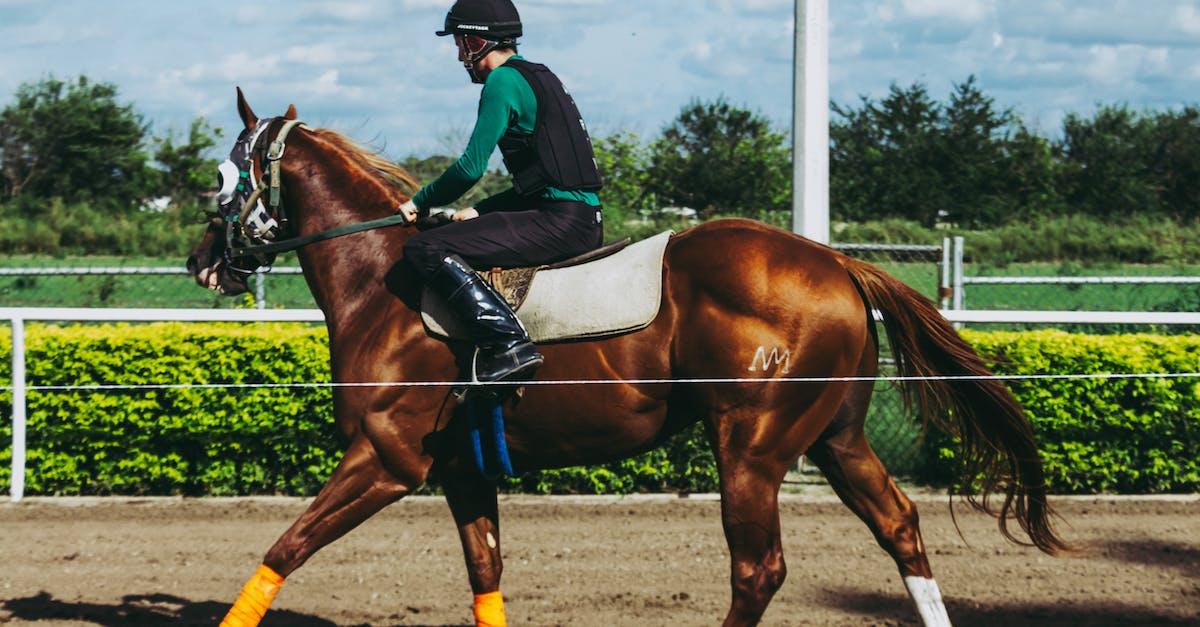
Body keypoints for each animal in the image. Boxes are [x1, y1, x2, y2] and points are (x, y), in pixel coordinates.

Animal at [187, 93, 1060, 624]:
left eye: (221, 179)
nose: (201, 262)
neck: (383, 283)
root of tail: (838, 261)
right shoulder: (461, 467)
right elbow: (486, 572)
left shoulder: (385, 458)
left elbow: (285, 547)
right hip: (834, 438)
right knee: (900, 526)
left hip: (752, 447)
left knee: (760, 568)